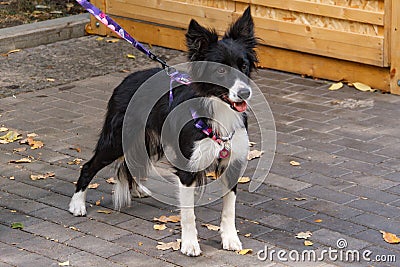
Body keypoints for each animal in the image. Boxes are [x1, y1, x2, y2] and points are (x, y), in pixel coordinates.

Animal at [68, 7, 256, 256]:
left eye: (243, 66)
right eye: (220, 71)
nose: (245, 93)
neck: (217, 108)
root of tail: (126, 79)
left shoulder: (233, 162)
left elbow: (229, 209)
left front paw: (231, 239)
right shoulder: (187, 168)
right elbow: (188, 213)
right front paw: (189, 244)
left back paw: (136, 188)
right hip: (117, 139)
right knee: (89, 166)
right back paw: (77, 204)